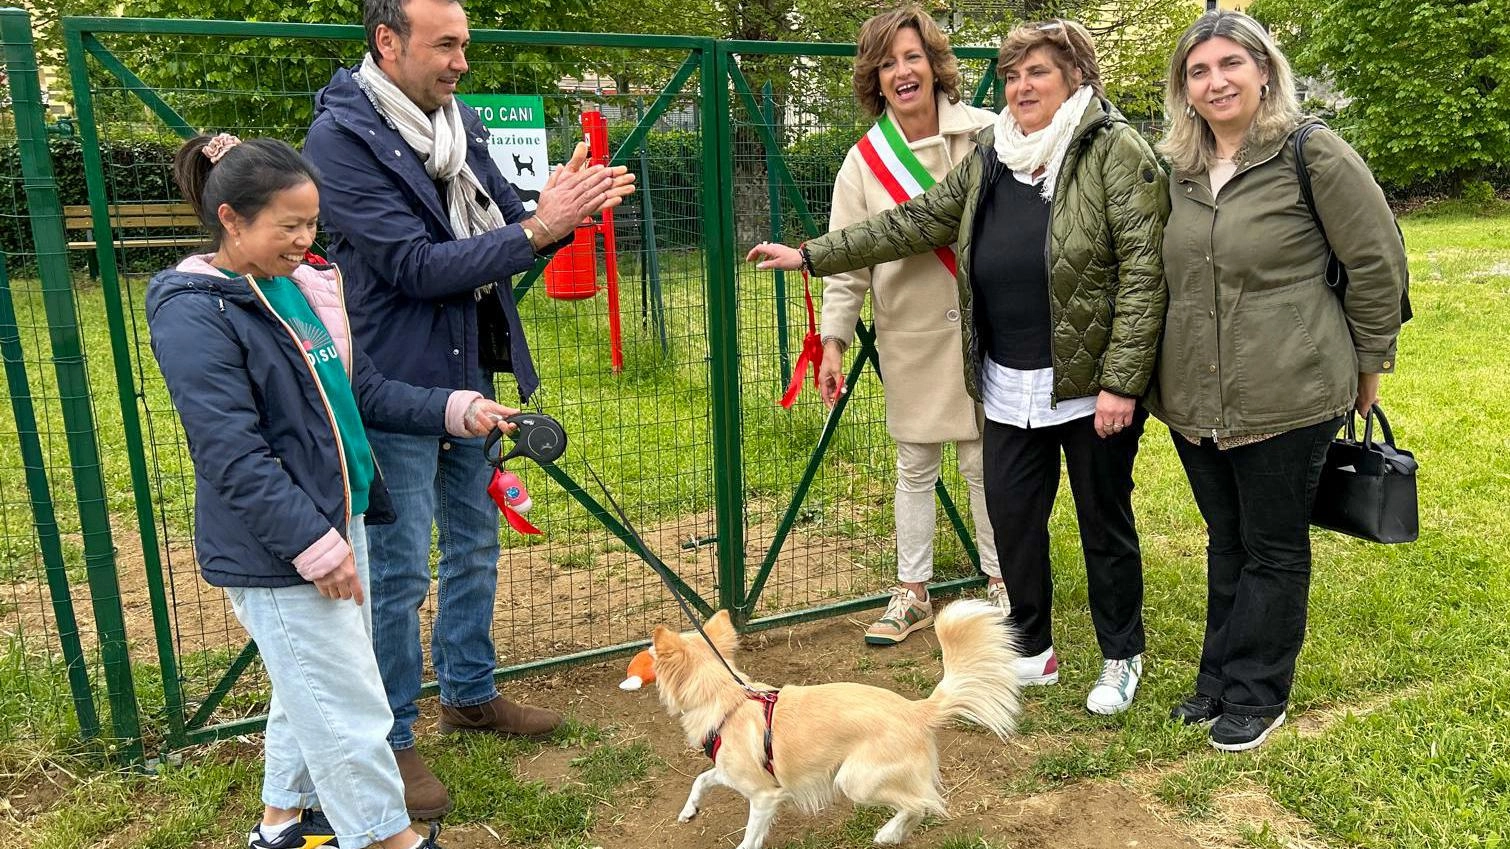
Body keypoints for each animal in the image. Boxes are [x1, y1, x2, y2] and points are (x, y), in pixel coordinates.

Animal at [652, 595, 1026, 845]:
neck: (727, 698)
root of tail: (916, 709)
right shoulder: (732, 774)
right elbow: (701, 779)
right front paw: (689, 810)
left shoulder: (763, 796)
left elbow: (749, 839)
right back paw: (894, 834)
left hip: (856, 779)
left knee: (923, 804)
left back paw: (889, 831)